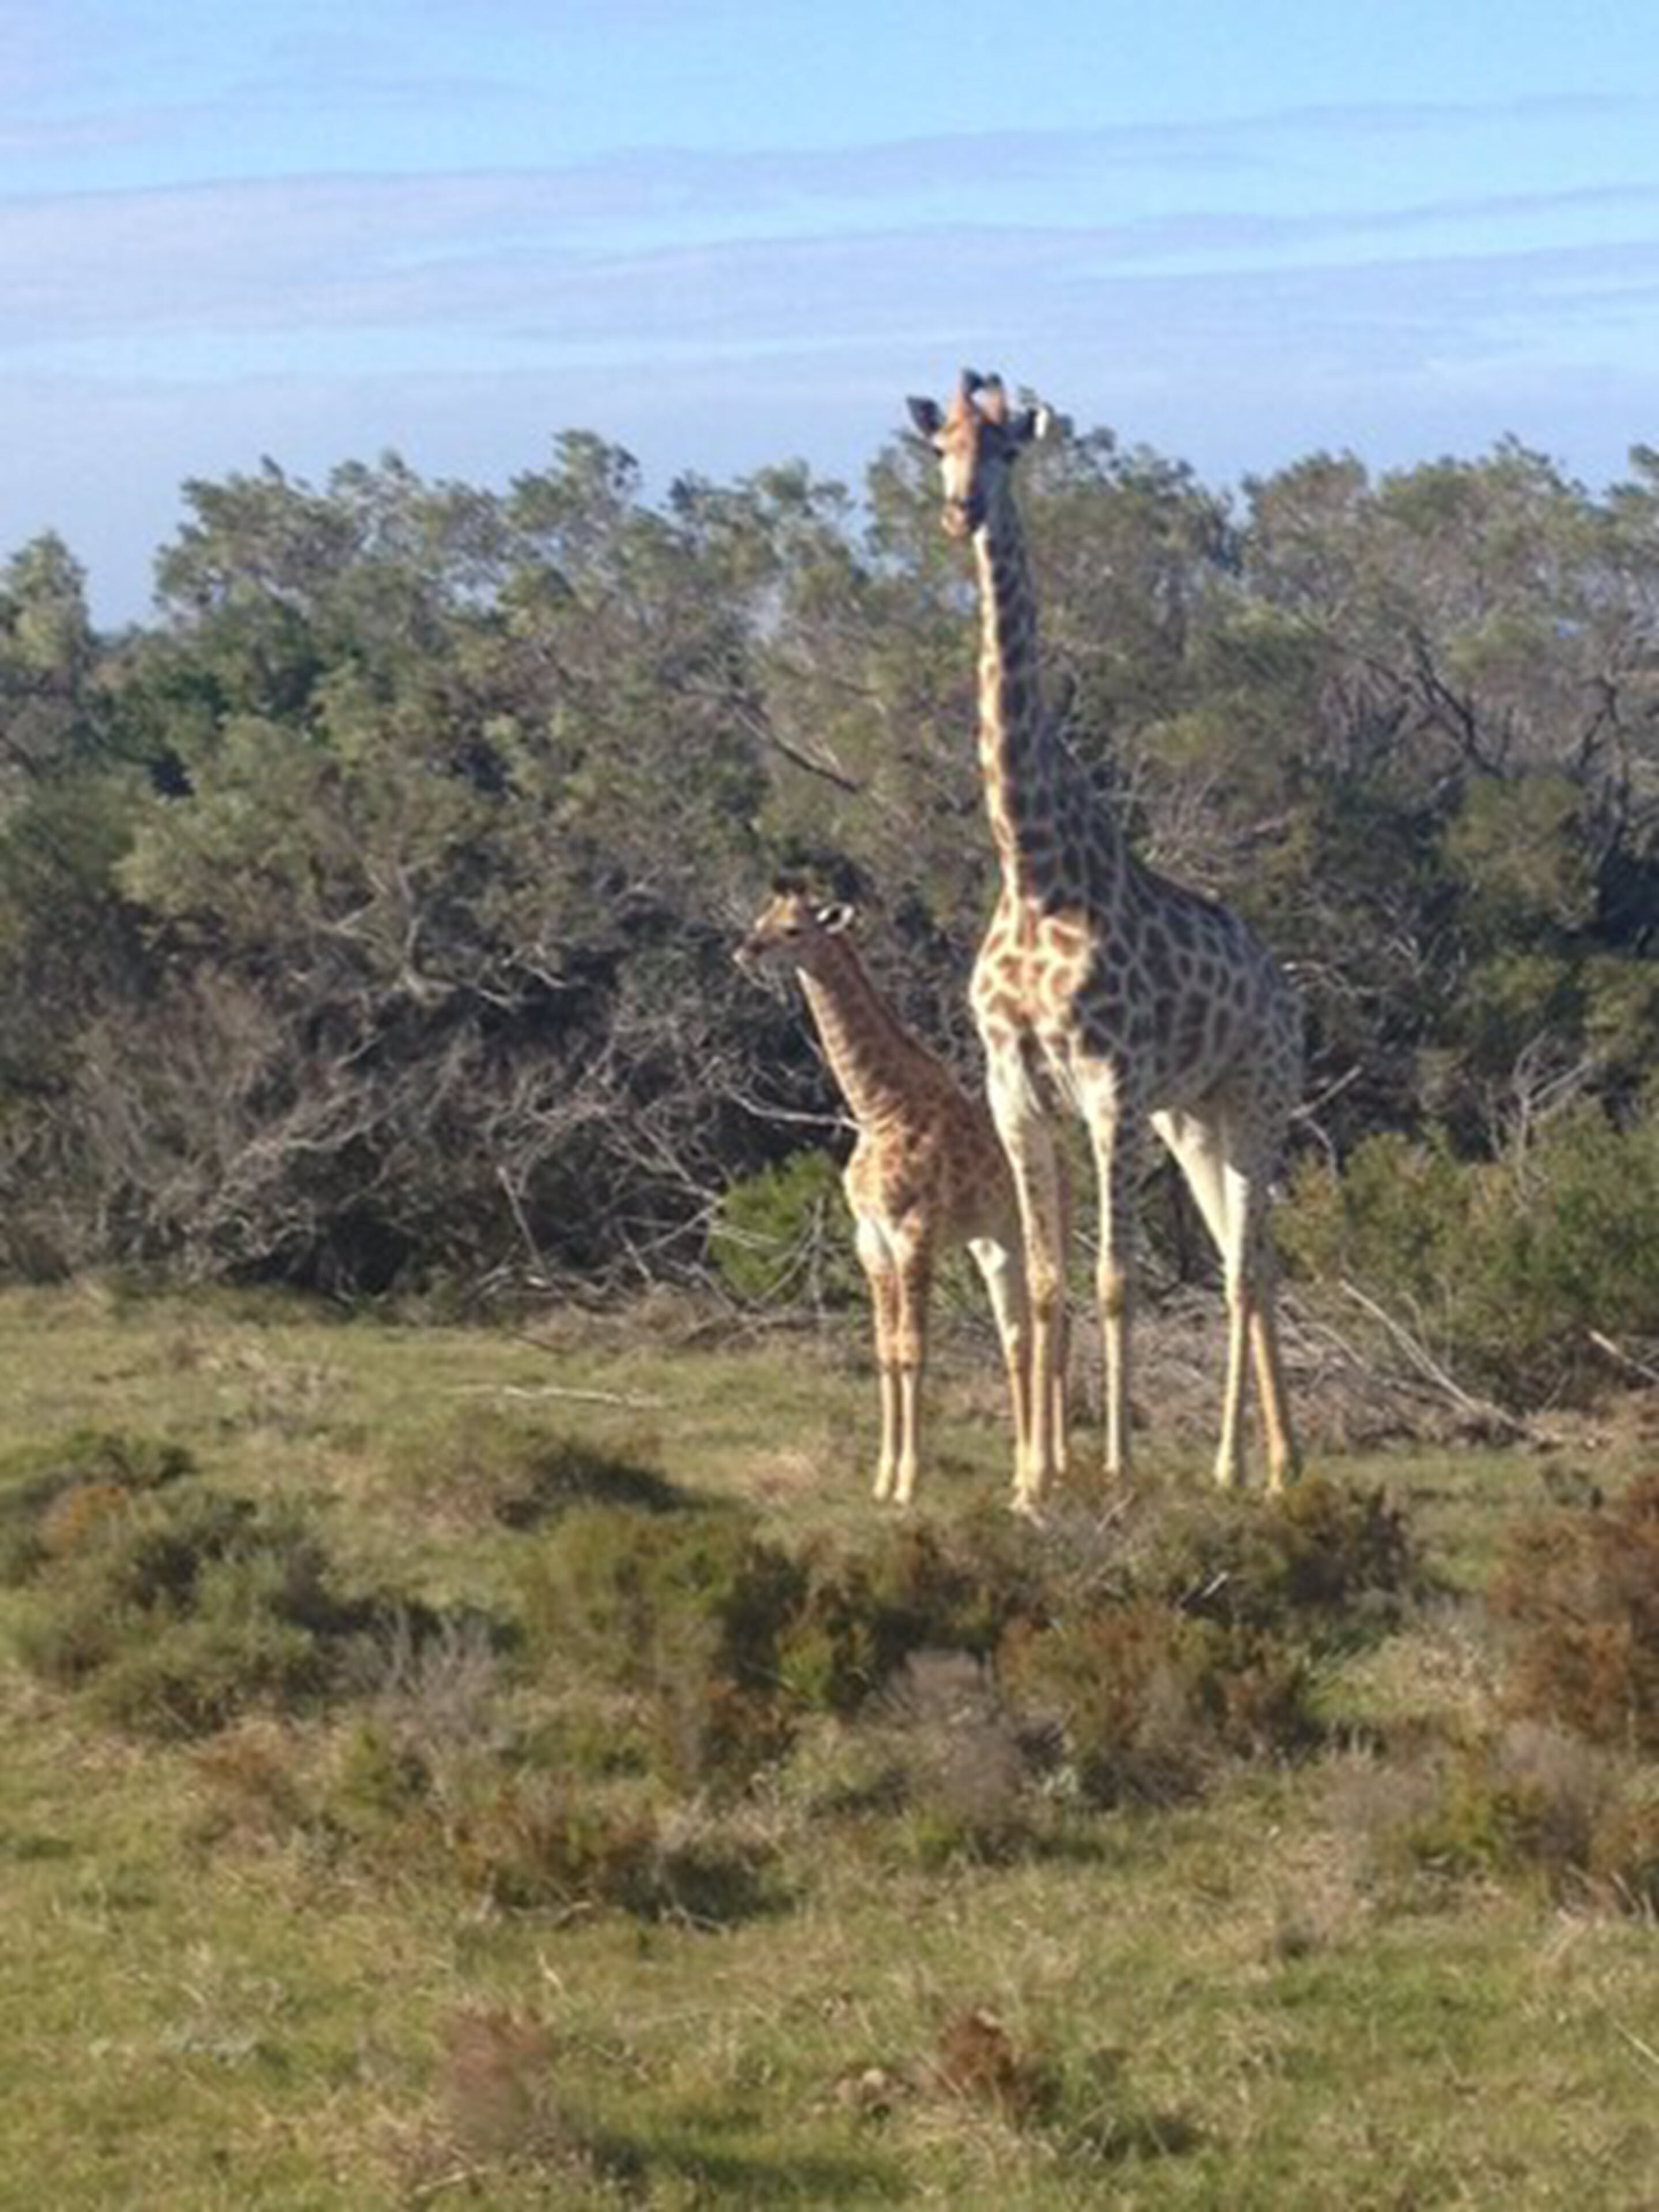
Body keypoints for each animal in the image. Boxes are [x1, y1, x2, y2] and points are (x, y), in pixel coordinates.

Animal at [737, 881, 1060, 1510]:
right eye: (762, 917)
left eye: (794, 930)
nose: (745, 951)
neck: (879, 1107)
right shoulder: (872, 1239)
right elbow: (885, 1352)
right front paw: (882, 1477)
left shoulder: (914, 1231)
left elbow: (913, 1350)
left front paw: (909, 1481)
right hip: (993, 1242)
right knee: (1017, 1339)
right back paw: (1021, 1476)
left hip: (1044, 1224)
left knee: (1057, 1323)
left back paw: (1054, 1471)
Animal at [906, 370, 1302, 1500]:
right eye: (940, 446)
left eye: (1009, 450)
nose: (961, 511)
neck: (1036, 871)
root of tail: (1280, 984)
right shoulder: (1016, 1091)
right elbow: (1045, 1284)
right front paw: (1036, 1479)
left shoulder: (1108, 1087)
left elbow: (1117, 1277)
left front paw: (1117, 1469)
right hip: (1191, 1119)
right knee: (1249, 1258)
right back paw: (1279, 1460)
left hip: (1256, 1098)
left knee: (1244, 1266)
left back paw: (1240, 1466)